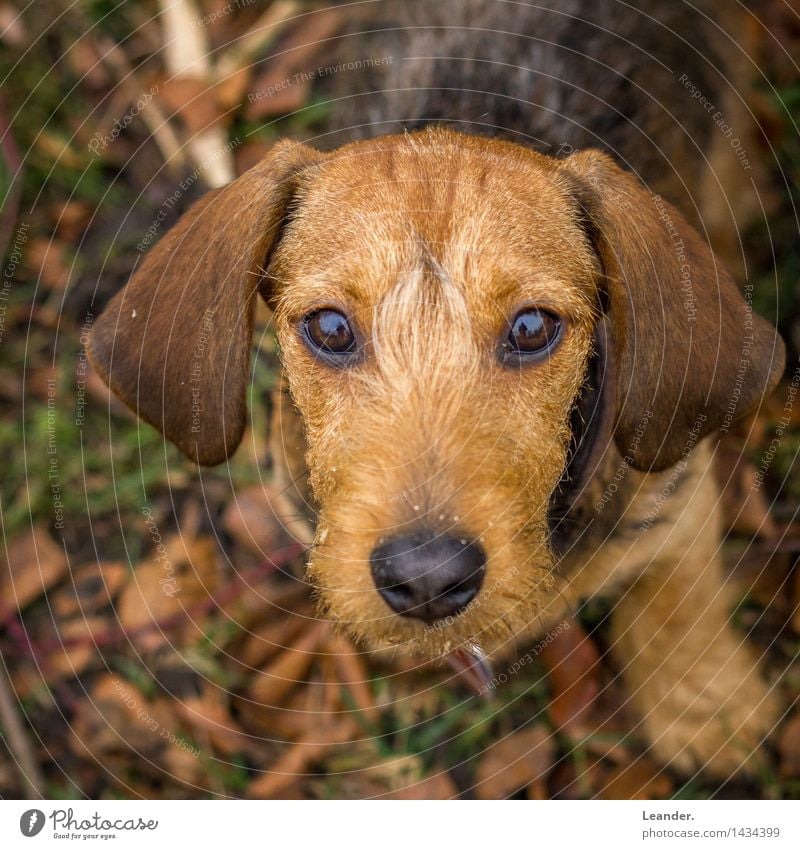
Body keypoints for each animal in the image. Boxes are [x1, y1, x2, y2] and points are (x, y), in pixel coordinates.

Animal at [86, 3, 780, 780]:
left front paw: (708, 704)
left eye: (533, 327)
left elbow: (680, 592)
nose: (426, 578)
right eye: (329, 327)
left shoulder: (672, 490)